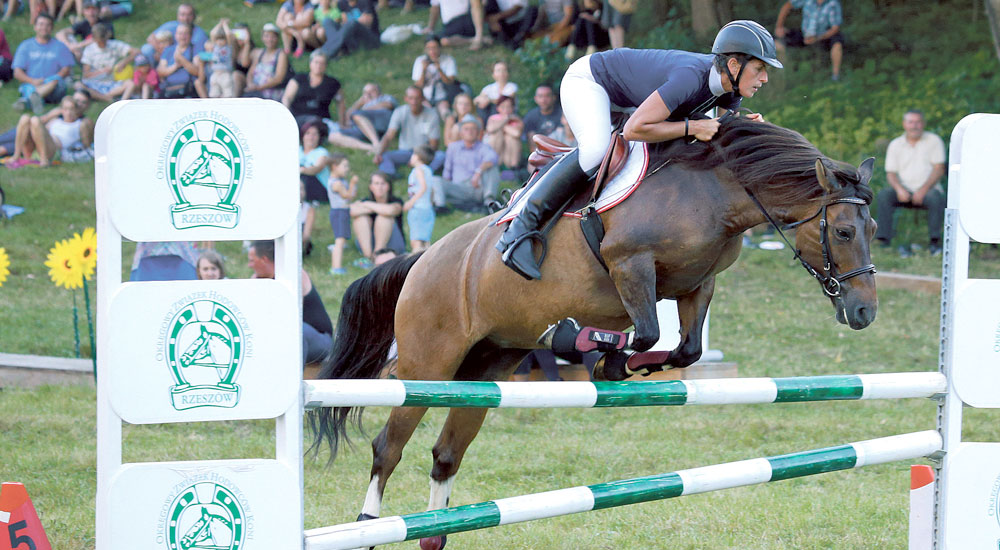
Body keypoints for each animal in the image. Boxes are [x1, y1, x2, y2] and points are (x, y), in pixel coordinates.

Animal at [308, 114, 880, 548]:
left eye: (873, 229)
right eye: (843, 231)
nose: (864, 313)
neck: (714, 191)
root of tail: (424, 257)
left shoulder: (696, 285)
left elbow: (686, 349)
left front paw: (619, 365)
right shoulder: (630, 264)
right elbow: (645, 332)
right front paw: (589, 348)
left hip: (487, 367)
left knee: (446, 455)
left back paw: (433, 533)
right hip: (429, 363)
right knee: (387, 446)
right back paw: (367, 526)